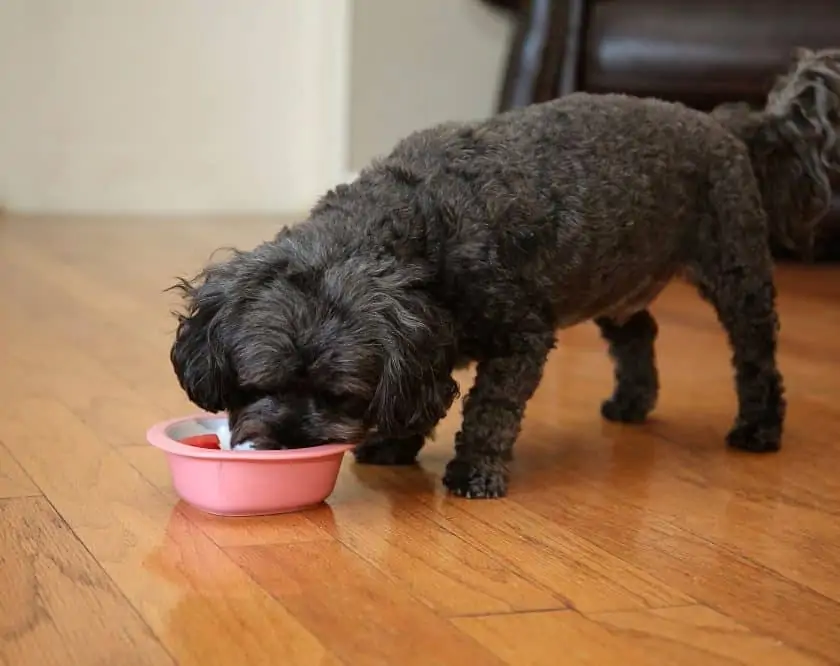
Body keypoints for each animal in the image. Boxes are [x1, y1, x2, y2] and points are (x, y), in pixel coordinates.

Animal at [171, 49, 840, 496]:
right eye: (257, 385)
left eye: (341, 396)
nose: (285, 445)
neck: (411, 221)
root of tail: (726, 123)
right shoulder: (427, 344)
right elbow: (426, 398)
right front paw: (396, 444)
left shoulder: (518, 337)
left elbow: (489, 410)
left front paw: (474, 472)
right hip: (616, 277)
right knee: (639, 334)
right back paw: (631, 402)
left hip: (737, 272)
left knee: (756, 359)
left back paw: (758, 428)